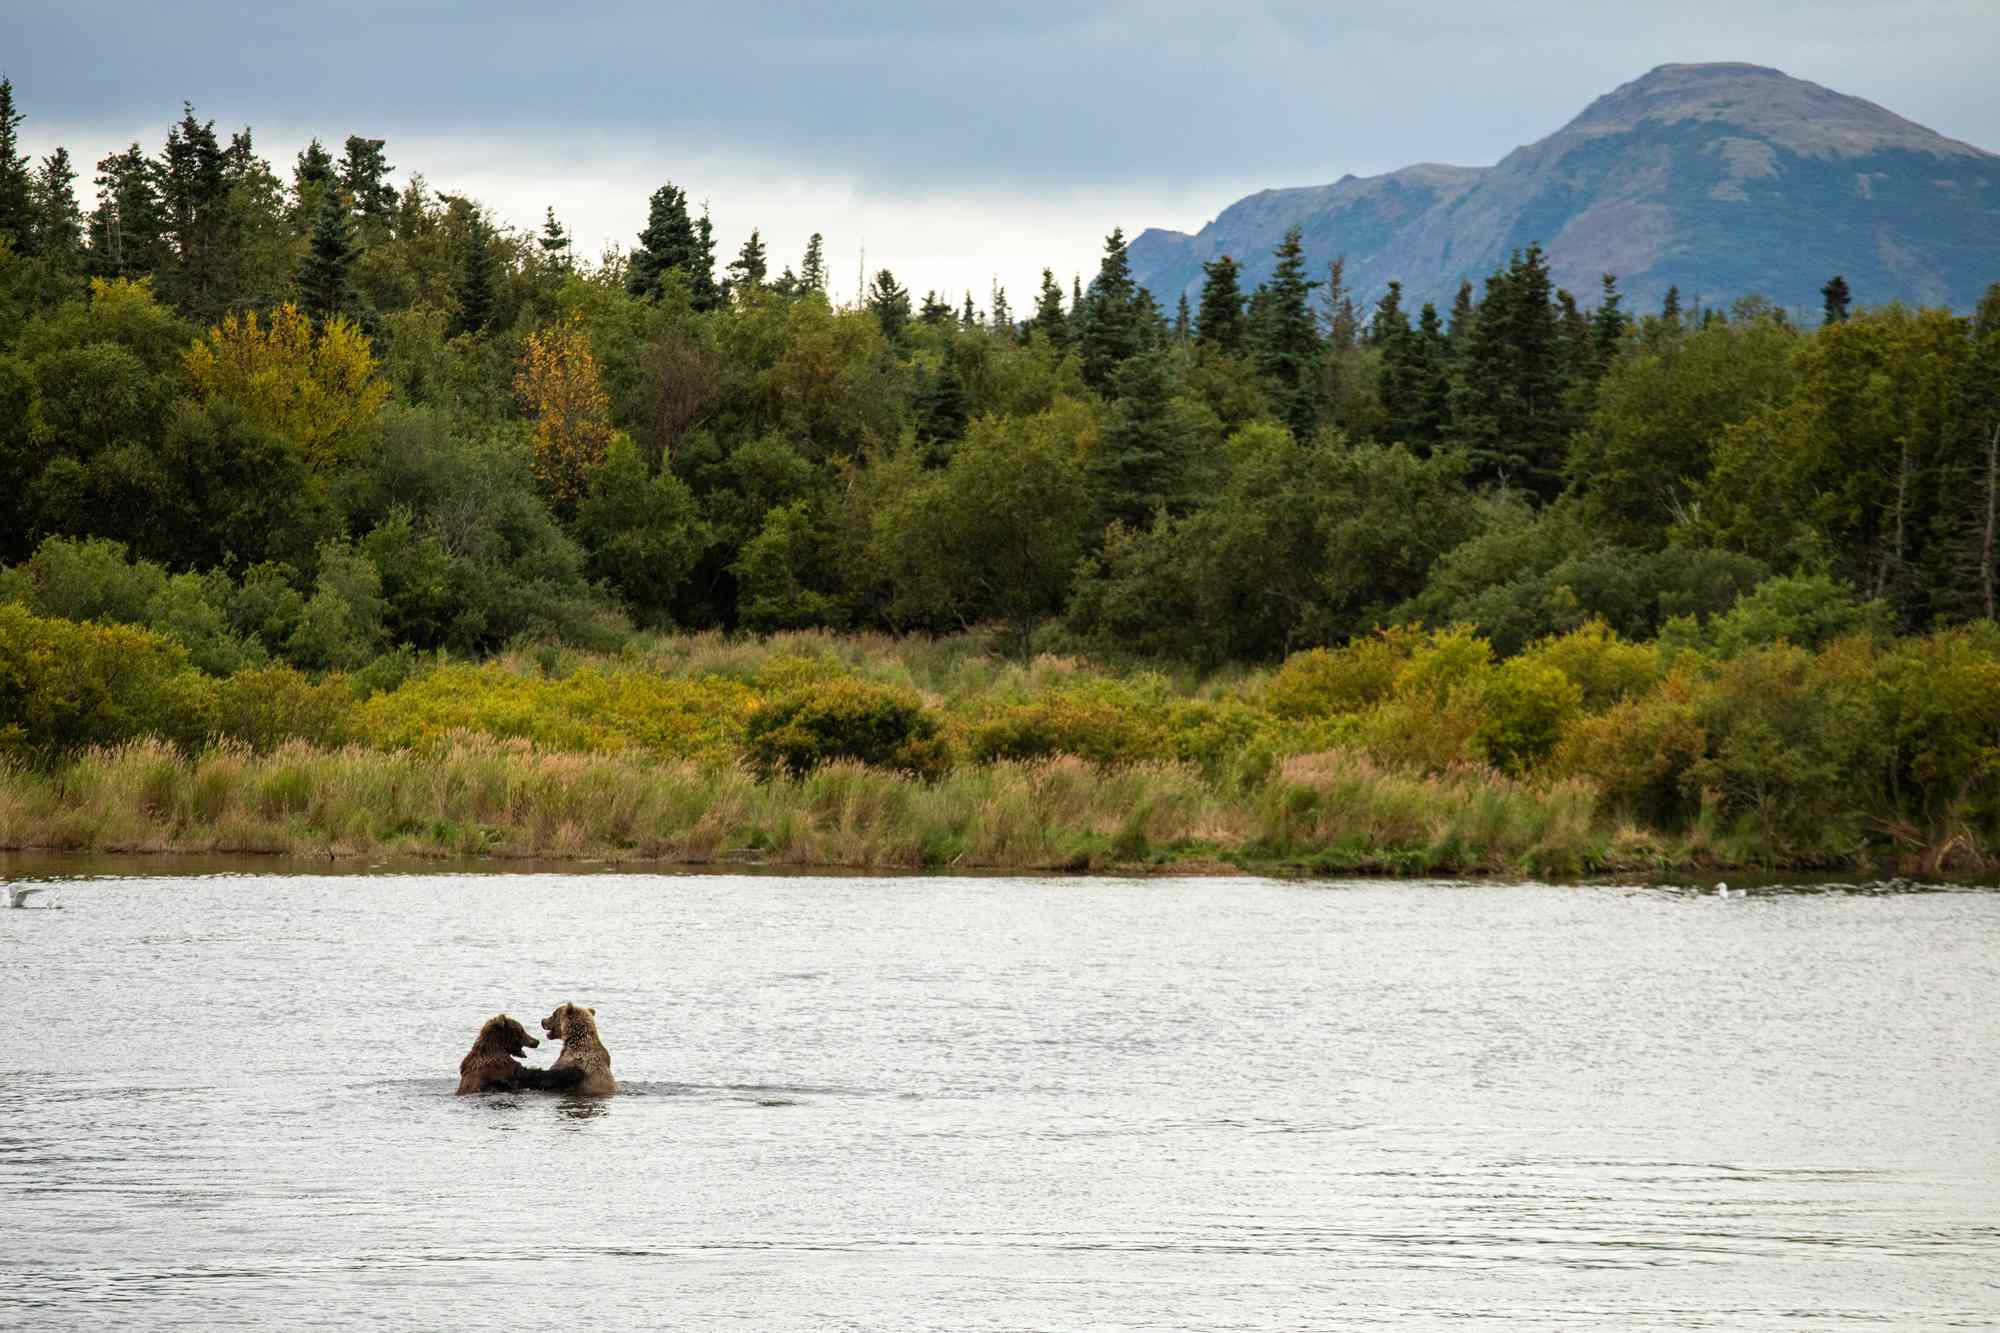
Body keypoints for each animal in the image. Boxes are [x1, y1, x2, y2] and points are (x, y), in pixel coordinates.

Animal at [455, 1013, 587, 1095]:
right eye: (521, 1030)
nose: (536, 1041)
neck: (497, 1047)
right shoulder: (502, 1068)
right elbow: (533, 1076)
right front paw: (575, 1071)